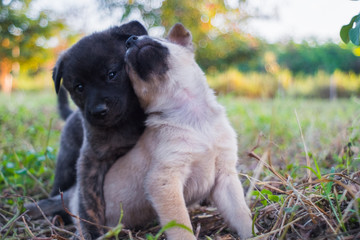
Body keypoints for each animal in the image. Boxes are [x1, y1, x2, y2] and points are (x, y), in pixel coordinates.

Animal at [25, 21, 147, 236]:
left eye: (112, 74)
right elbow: (88, 201)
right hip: (66, 162)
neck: (123, 123)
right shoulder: (91, 160)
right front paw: (91, 230)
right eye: (79, 87)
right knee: (59, 189)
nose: (99, 111)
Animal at [97, 23, 252, 239]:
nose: (130, 40)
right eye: (128, 68)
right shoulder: (165, 180)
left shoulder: (225, 176)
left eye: (160, 39)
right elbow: (180, 224)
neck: (193, 115)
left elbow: (241, 213)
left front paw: (253, 233)